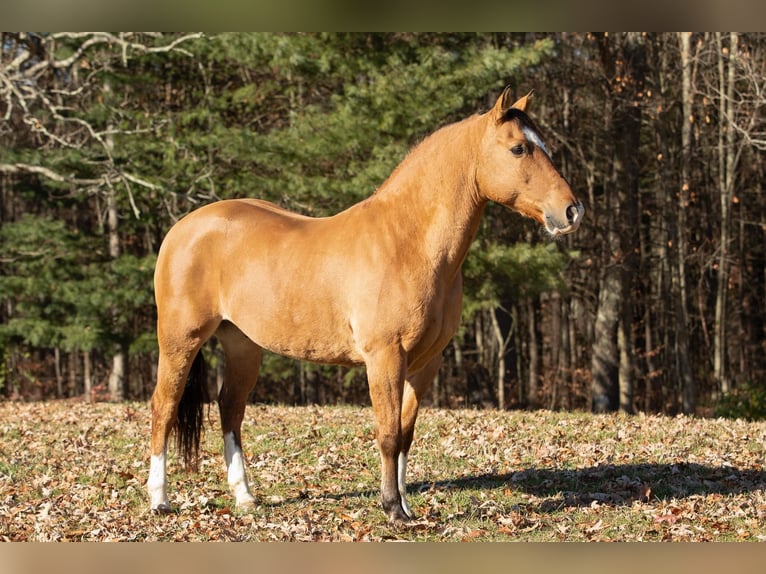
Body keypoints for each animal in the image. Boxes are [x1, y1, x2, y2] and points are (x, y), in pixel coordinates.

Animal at [147, 88, 584, 524]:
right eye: (518, 148)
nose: (572, 211)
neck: (410, 243)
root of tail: (183, 228)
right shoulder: (385, 356)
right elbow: (387, 433)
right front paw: (392, 509)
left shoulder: (426, 363)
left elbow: (406, 434)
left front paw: (405, 504)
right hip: (180, 340)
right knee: (164, 407)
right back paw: (159, 500)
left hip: (242, 345)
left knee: (230, 407)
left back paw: (244, 496)